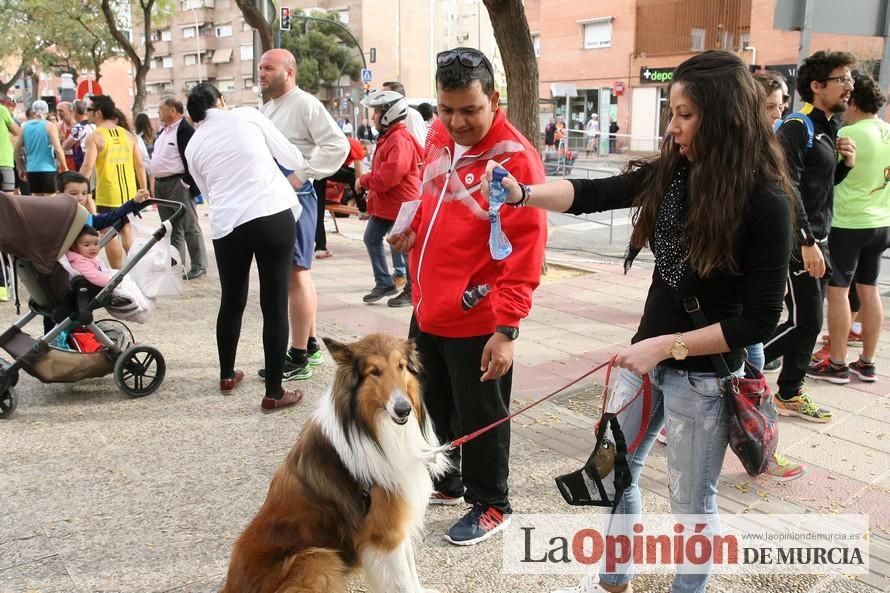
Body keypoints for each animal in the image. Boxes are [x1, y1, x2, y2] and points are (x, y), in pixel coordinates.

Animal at [219, 332, 448, 592]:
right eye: (374, 371)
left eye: (401, 366)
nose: (403, 410)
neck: (373, 429)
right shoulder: (386, 530)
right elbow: (403, 578)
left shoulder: (399, 514)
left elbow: (410, 568)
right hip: (319, 557)